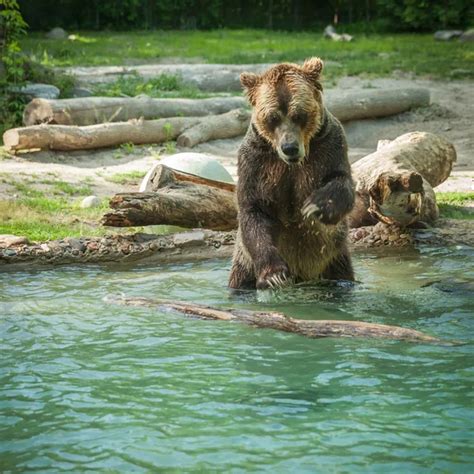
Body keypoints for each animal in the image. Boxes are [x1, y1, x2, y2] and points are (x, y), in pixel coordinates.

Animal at [228, 57, 354, 290]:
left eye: (299, 115)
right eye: (272, 118)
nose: (290, 148)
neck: (291, 164)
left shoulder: (329, 146)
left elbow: (342, 181)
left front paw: (315, 206)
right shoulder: (256, 162)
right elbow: (253, 209)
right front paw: (274, 275)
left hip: (335, 260)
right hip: (243, 267)